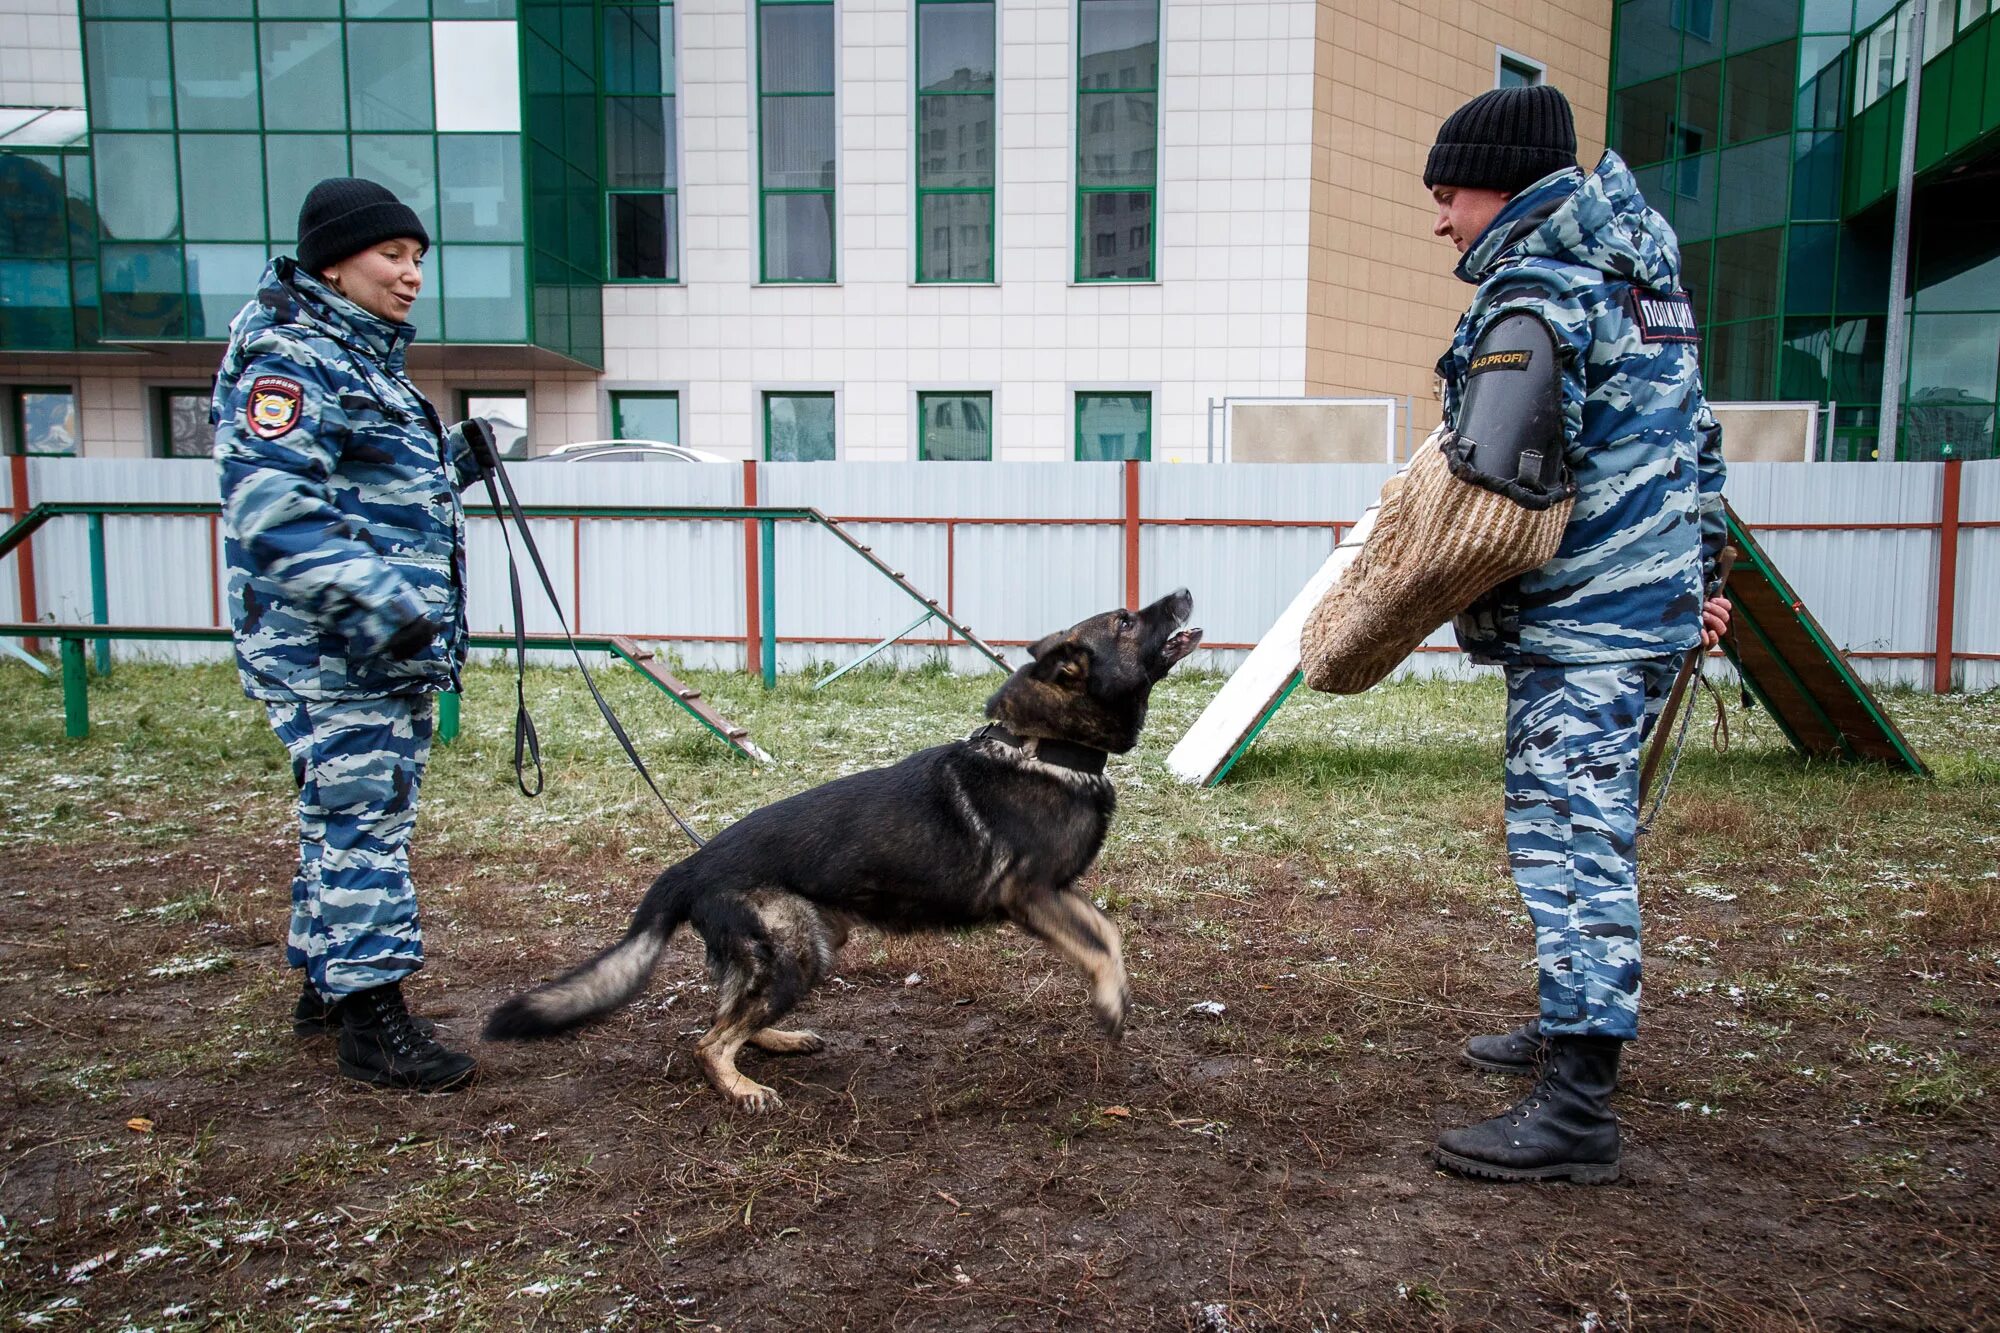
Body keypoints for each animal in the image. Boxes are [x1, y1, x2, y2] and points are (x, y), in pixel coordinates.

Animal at [484, 588, 1200, 1104]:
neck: (1045, 746)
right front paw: (1110, 1004)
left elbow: (1108, 932)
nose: (1185, 591)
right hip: (796, 953)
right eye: (1127, 620)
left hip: (810, 943)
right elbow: (1101, 944)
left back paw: (775, 1041)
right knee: (708, 1042)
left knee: (727, 1013)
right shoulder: (1031, 894)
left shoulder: (1057, 894)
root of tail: (690, 866)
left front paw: (1117, 997)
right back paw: (741, 1087)